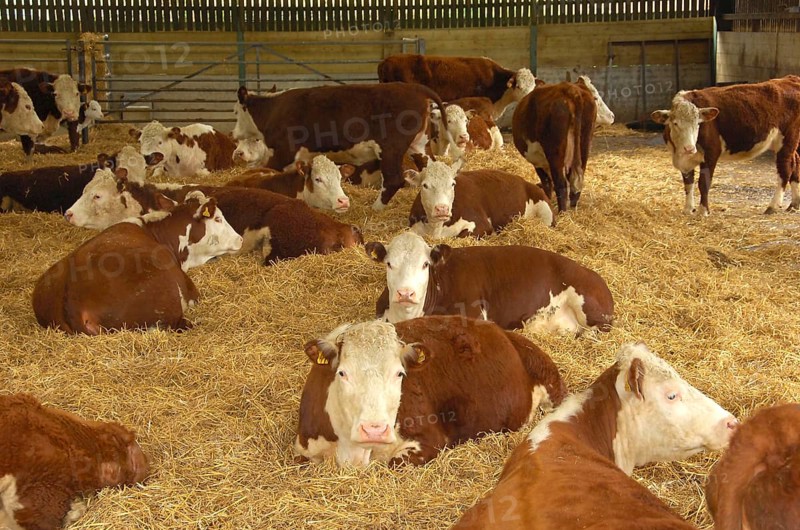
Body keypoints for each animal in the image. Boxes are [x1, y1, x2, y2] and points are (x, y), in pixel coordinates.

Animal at [234, 83, 446, 210]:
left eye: (236, 112)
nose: (234, 134)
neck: (273, 110)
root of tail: (414, 88)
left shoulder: (282, 154)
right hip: (420, 146)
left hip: (390, 150)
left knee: (394, 180)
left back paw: (375, 208)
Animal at [294, 316, 567, 467]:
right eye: (342, 373)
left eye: (399, 373)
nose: (375, 430)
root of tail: (500, 330)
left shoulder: (429, 440)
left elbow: (393, 463)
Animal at [405, 161, 554, 238]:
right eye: (425, 185)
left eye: (452, 184)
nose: (442, 209)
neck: (436, 228)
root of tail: (524, 181)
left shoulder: (480, 223)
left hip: (546, 212)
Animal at [513, 76, 614, 212]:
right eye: (596, 97)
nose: (612, 116)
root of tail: (571, 89)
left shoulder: (538, 162)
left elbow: (547, 184)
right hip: (584, 145)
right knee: (577, 180)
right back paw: (572, 209)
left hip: (555, 153)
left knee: (561, 184)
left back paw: (562, 212)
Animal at [651, 76, 800, 215]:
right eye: (675, 123)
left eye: (698, 124)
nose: (689, 148)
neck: (680, 153)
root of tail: (790, 78)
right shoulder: (684, 160)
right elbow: (688, 183)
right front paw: (688, 209)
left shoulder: (711, 152)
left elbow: (703, 183)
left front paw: (703, 211)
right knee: (796, 162)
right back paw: (794, 204)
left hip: (786, 141)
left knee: (785, 169)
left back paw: (773, 206)